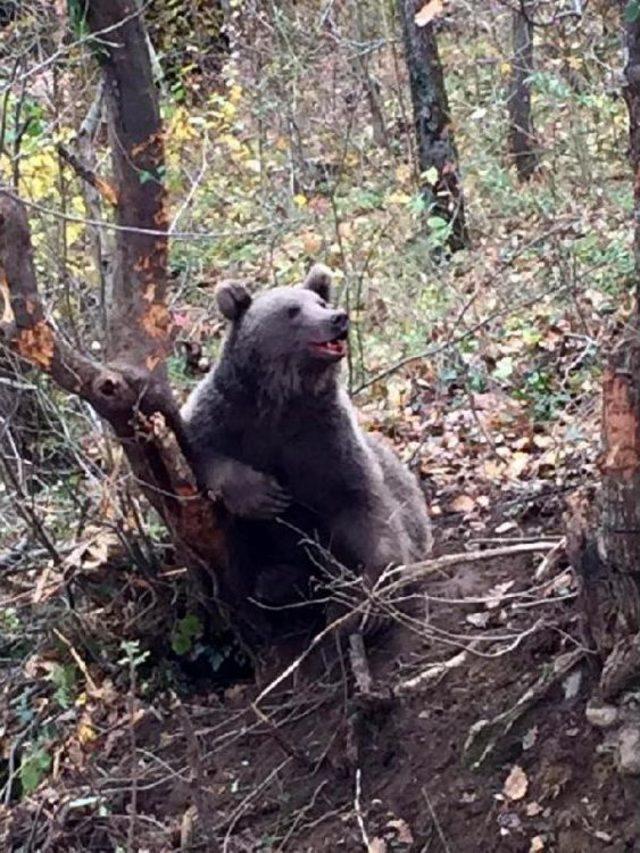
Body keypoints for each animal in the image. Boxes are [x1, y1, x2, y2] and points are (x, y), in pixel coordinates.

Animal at [180, 262, 430, 644]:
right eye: (293, 310)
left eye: (320, 301)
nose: (338, 318)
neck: (283, 398)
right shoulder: (228, 416)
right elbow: (198, 451)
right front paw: (264, 495)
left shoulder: (323, 440)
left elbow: (362, 503)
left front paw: (363, 605)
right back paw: (274, 584)